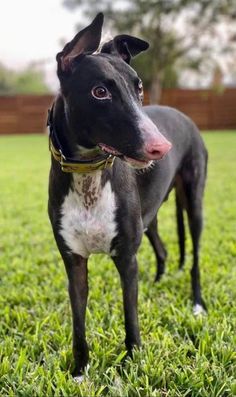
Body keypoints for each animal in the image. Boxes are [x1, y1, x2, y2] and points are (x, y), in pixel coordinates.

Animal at [47, 13, 206, 378]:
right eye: (100, 91)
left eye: (139, 87)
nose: (162, 148)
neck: (89, 175)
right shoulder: (73, 261)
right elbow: (78, 323)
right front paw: (80, 371)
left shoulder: (126, 260)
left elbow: (131, 317)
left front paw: (132, 363)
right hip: (151, 217)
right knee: (162, 248)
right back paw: (159, 282)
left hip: (194, 203)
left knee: (193, 259)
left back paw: (197, 304)